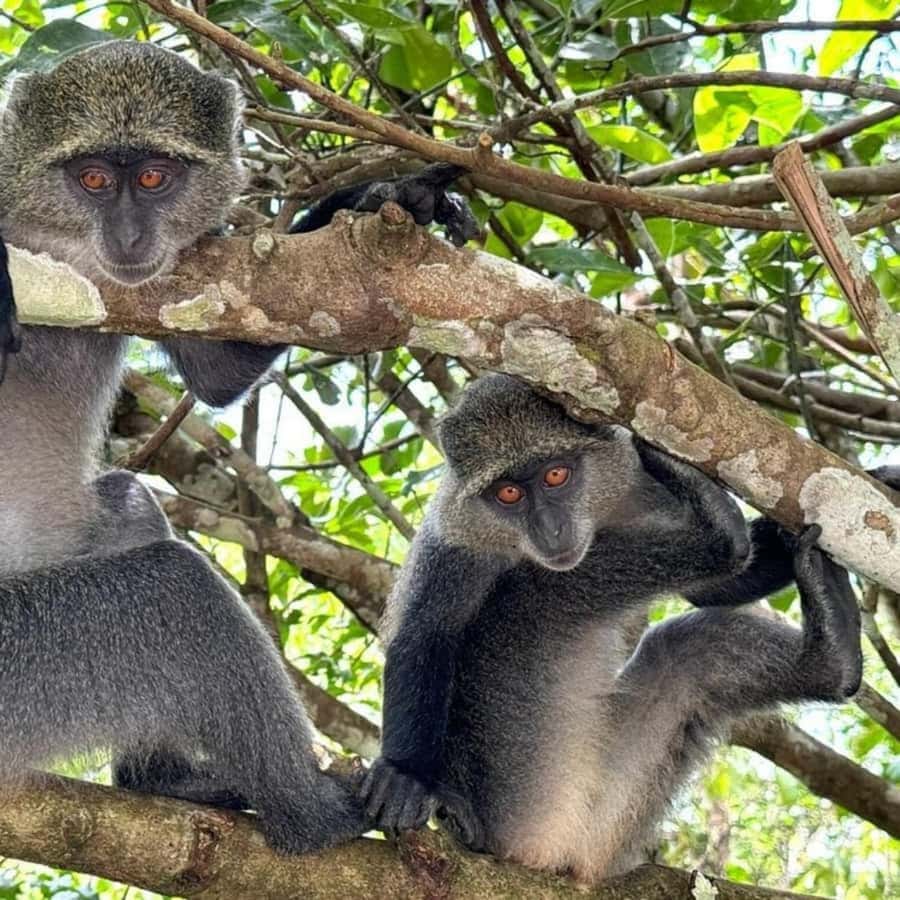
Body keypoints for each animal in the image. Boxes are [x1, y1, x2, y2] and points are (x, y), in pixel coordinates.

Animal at [0, 40, 475, 854]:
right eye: (92, 178)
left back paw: (161, 779)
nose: (129, 239)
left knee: (128, 502)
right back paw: (315, 815)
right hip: (17, 661)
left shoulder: (183, 282)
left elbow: (218, 368)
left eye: (153, 177)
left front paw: (380, 196)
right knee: (178, 595)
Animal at [361, 374, 876, 883]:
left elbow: (715, 591)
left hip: (606, 805)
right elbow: (426, 634)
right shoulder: (454, 539)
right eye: (509, 494)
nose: (550, 528)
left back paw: (830, 659)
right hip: (525, 776)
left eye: (556, 475)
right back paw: (724, 539)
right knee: (527, 595)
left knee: (687, 650)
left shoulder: (637, 483)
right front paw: (405, 775)